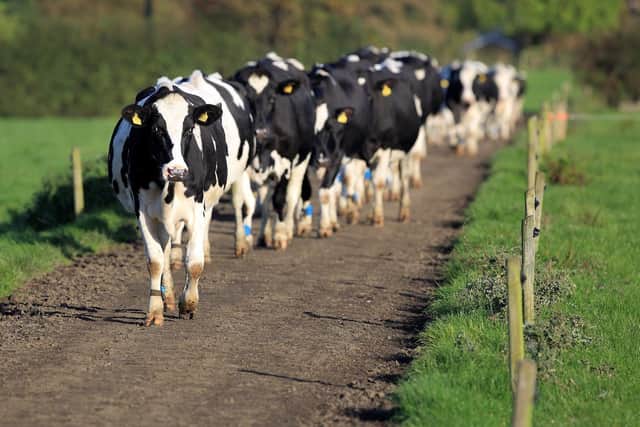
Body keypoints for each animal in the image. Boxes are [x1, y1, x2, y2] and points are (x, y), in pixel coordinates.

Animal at [107, 70, 256, 326]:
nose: (176, 171)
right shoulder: (143, 212)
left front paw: (188, 304)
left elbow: (194, 262)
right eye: (156, 130)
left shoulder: (197, 209)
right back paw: (167, 296)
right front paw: (155, 310)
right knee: (165, 251)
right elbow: (155, 261)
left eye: (189, 130)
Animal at [233, 52, 315, 250]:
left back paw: (287, 229)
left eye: (272, 99)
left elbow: (279, 199)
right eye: (247, 99)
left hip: (302, 160)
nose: (260, 132)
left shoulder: (285, 165)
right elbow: (245, 203)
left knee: (292, 195)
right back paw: (264, 235)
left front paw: (280, 235)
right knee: (265, 201)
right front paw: (243, 241)